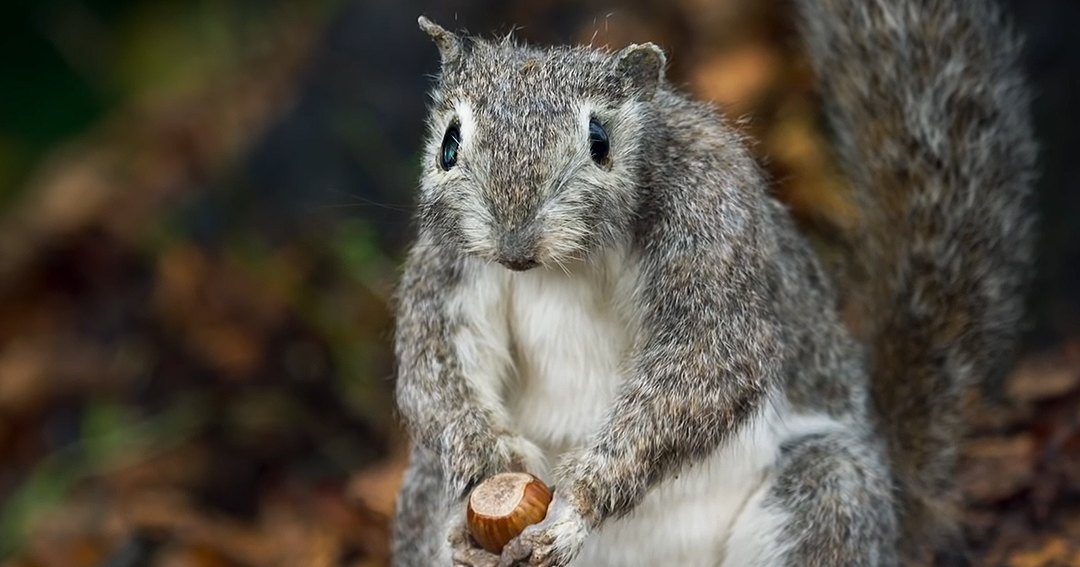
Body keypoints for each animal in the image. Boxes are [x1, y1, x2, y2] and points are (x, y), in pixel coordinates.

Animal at [391, 0, 1036, 565]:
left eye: (600, 141)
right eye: (449, 143)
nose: (514, 246)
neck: (566, 264)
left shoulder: (712, 225)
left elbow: (710, 361)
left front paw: (576, 508)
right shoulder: (447, 265)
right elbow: (432, 364)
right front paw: (489, 472)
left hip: (827, 493)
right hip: (420, 489)